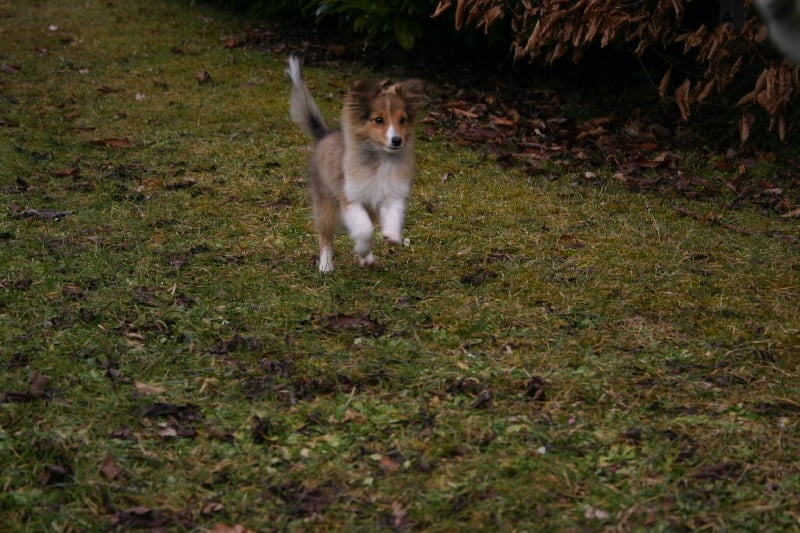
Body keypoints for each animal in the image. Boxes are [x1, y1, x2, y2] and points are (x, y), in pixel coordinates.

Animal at [286, 55, 424, 272]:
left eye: (402, 120)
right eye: (378, 120)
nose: (397, 140)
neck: (380, 159)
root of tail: (323, 135)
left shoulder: (391, 194)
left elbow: (392, 215)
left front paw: (391, 236)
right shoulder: (350, 198)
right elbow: (365, 230)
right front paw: (361, 248)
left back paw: (367, 258)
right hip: (326, 204)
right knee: (325, 236)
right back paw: (326, 265)